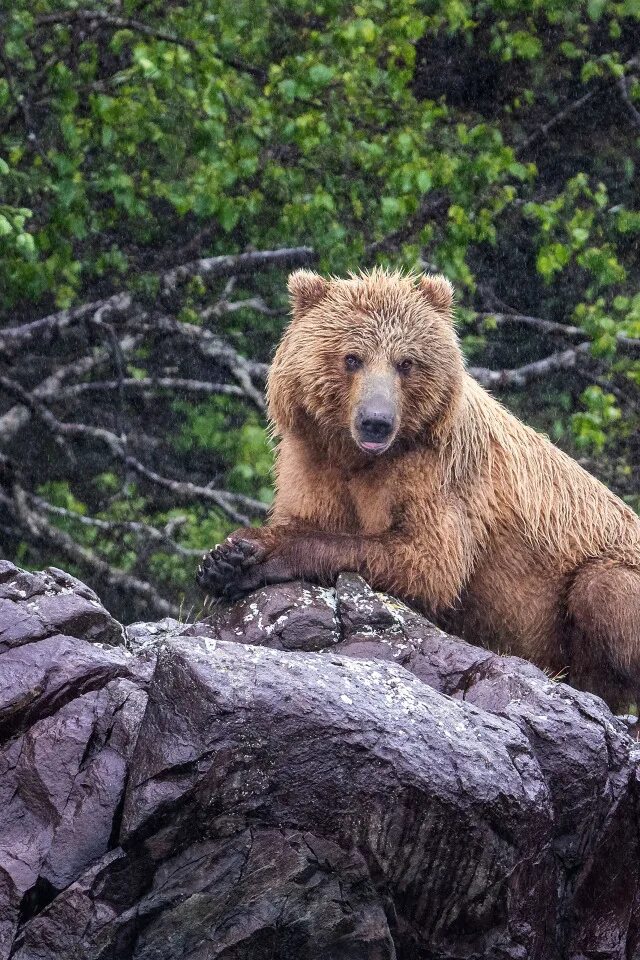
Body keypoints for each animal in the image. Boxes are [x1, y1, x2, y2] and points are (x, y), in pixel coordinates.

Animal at [198, 270, 640, 712]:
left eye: (405, 362)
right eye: (352, 357)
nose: (376, 422)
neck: (359, 459)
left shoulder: (438, 473)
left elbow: (427, 560)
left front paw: (254, 554)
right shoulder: (312, 459)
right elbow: (309, 515)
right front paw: (222, 561)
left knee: (600, 591)